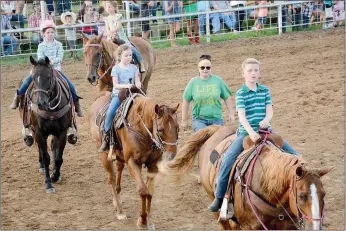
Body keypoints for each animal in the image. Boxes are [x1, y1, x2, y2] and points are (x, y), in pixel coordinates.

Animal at [88, 91, 180, 228]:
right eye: (160, 130)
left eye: (177, 127)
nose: (171, 155)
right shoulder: (132, 162)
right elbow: (143, 191)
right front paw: (142, 221)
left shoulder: (153, 165)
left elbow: (150, 192)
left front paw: (149, 221)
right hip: (104, 155)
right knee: (111, 179)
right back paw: (120, 211)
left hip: (119, 155)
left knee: (118, 171)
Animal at [159, 125, 332, 230]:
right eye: (302, 196)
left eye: (324, 195)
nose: (315, 228)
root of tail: (217, 130)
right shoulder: (250, 227)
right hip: (214, 203)